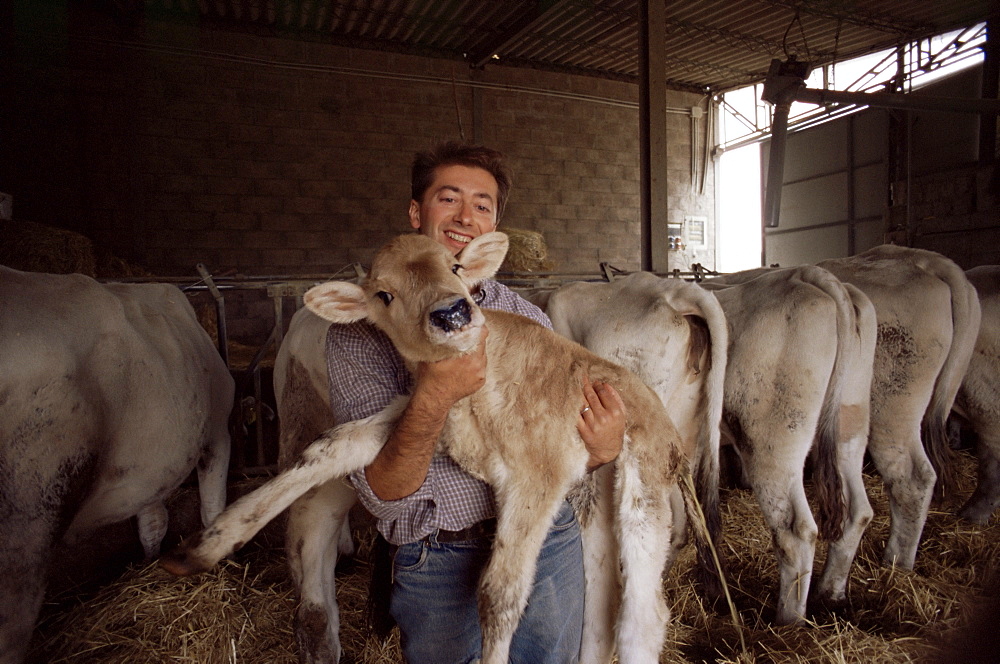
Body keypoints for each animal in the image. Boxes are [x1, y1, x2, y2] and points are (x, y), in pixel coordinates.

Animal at [160, 232, 716, 664]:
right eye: (384, 294)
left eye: (454, 267)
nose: (452, 313)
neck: (478, 394)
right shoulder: (416, 414)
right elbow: (331, 448)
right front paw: (205, 545)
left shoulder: (539, 476)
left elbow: (499, 595)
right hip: (595, 501)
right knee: (602, 606)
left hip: (643, 493)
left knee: (643, 616)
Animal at [700, 264, 880, 624]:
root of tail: (805, 274)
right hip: (849, 422)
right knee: (858, 511)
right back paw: (831, 593)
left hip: (771, 440)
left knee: (795, 532)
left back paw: (789, 621)